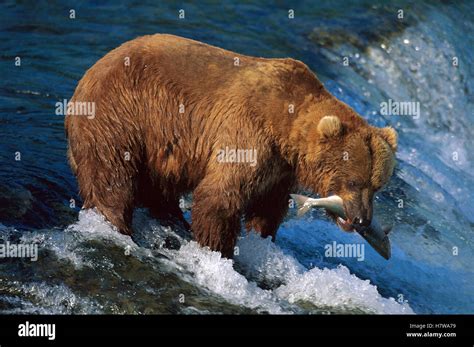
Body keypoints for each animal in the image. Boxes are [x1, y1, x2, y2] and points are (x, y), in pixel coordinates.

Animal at [65, 34, 398, 258]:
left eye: (377, 186)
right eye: (353, 181)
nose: (362, 219)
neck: (285, 129)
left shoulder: (280, 169)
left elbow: (268, 206)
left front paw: (262, 239)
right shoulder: (247, 132)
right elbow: (221, 196)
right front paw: (220, 252)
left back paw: (171, 217)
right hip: (122, 114)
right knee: (111, 176)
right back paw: (117, 224)